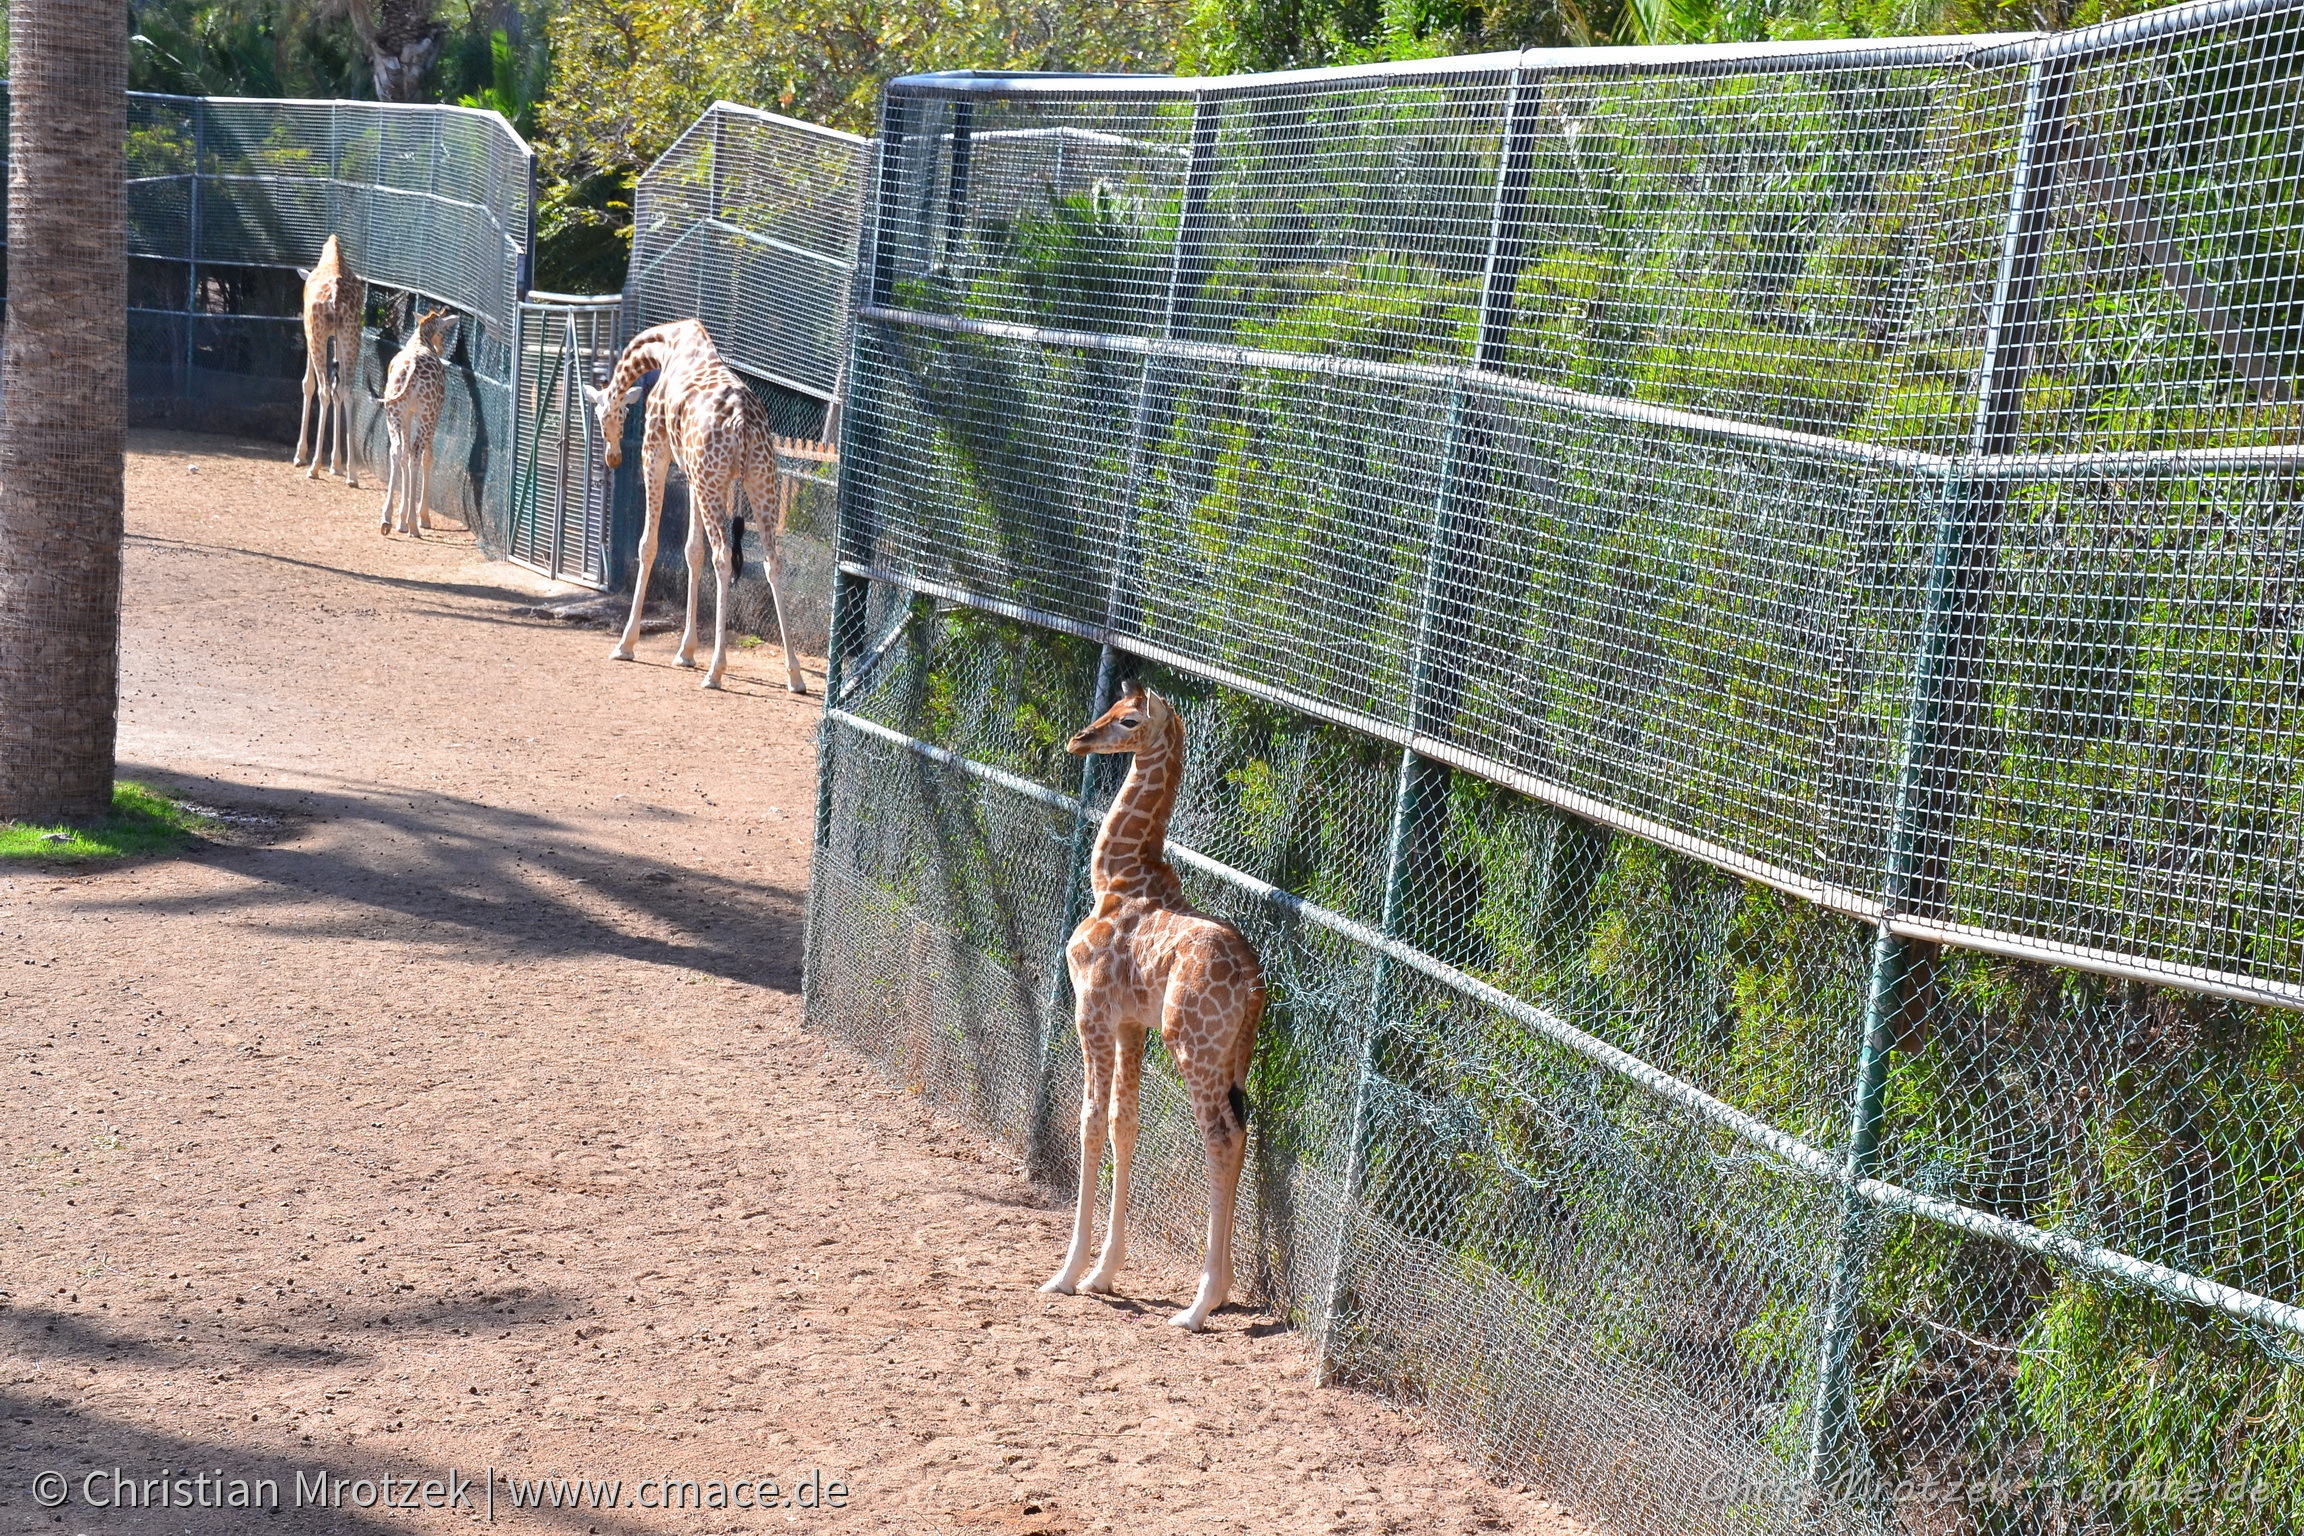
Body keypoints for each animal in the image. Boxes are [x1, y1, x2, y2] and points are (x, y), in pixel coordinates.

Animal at [297, 237, 368, 485]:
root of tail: (335, 295)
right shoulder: (337, 338)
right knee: (346, 390)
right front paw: (336, 465)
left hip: (318, 333)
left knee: (324, 389)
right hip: (351, 335)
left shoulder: (309, 331)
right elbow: (340, 390)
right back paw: (352, 474)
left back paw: (314, 467)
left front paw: (300, 455)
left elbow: (307, 384)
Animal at [585, 322, 811, 695]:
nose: (613, 457)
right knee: (771, 562)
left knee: (722, 556)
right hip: (759, 481)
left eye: (607, 415)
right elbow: (692, 551)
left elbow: (648, 545)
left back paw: (716, 670)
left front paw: (626, 644)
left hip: (714, 481)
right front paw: (686, 652)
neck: (665, 346)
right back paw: (794, 676)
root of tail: (742, 422)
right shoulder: (691, 472)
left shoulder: (655, 451)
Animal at [1050, 686, 1271, 1335]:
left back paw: (1199, 1306)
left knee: (1222, 1137)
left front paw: (1067, 1274)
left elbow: (1090, 1120)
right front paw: (1103, 1272)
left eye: (1127, 719)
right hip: (1229, 1053)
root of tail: (1254, 985)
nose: (1078, 740)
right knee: (1241, 1133)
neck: (1116, 878)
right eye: (1110, 707)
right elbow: (1125, 1123)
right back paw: (1216, 1291)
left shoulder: (1092, 1009)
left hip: (1192, 1044)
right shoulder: (1130, 1024)